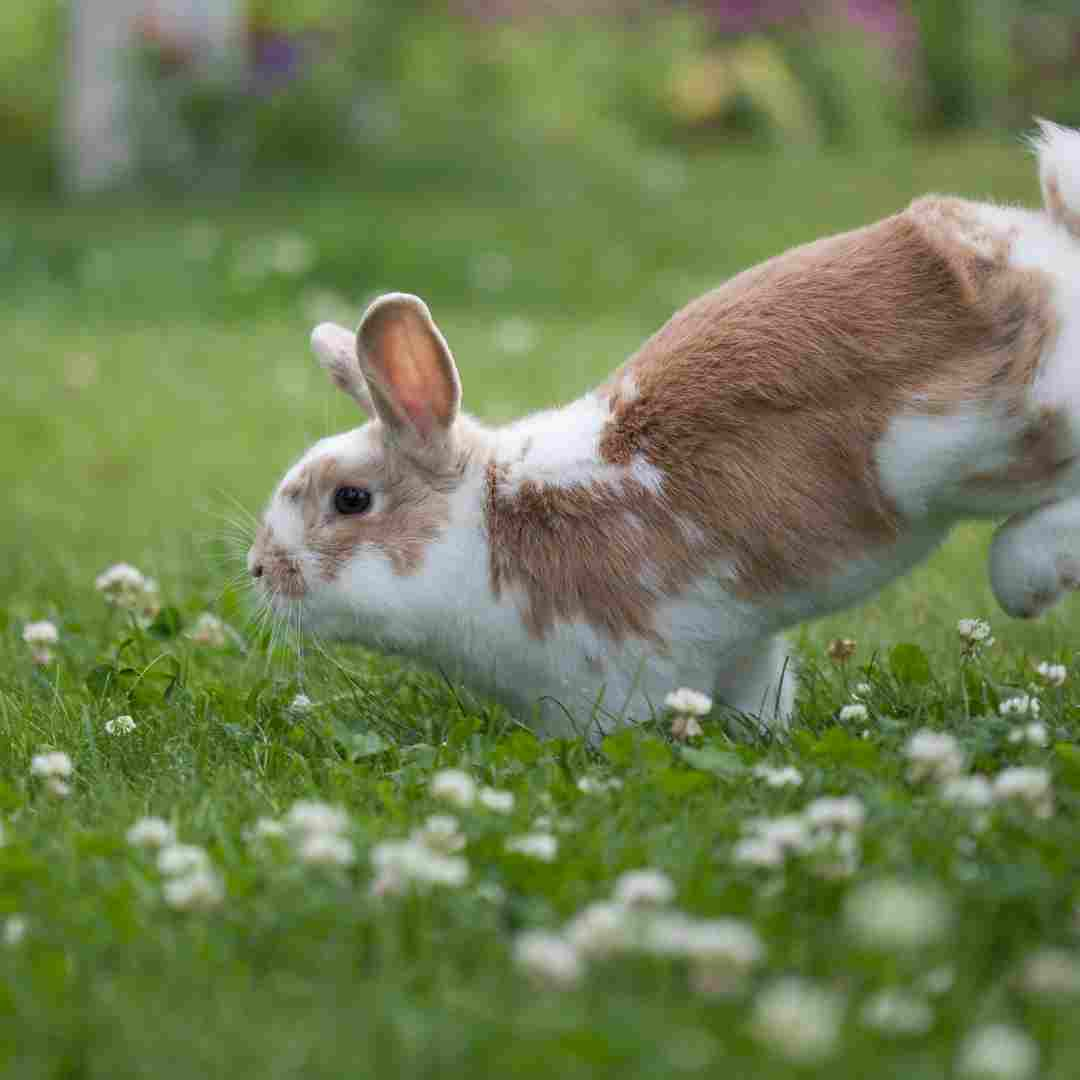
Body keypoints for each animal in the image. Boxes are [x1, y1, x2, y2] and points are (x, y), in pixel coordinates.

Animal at [252, 122, 1080, 738]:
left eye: (351, 500)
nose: (260, 570)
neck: (487, 526)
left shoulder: (621, 676)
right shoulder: (744, 645)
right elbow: (759, 697)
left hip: (996, 444)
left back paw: (1028, 578)